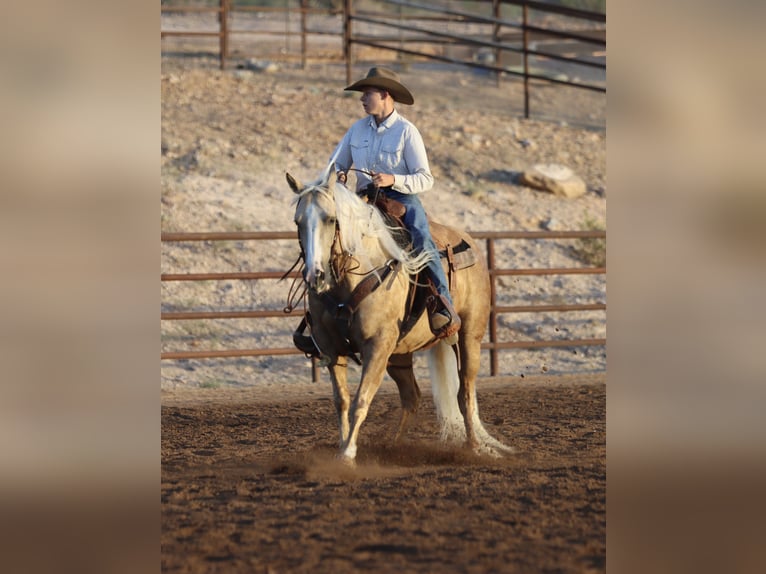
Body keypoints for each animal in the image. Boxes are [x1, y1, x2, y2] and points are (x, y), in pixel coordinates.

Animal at [287, 162, 513, 463]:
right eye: (298, 222)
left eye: (331, 219)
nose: (315, 276)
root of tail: (470, 242)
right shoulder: (330, 348)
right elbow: (342, 401)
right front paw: (342, 449)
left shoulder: (377, 345)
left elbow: (361, 399)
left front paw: (348, 454)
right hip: (399, 354)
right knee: (412, 396)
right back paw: (394, 446)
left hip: (469, 338)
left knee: (464, 394)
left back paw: (474, 447)